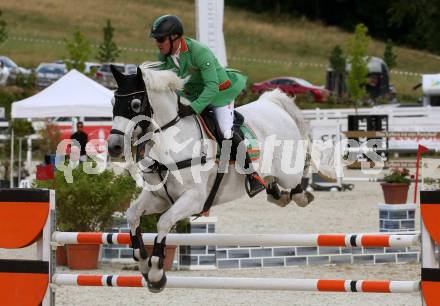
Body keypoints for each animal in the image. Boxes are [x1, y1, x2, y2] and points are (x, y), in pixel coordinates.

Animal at [107, 64, 336, 292]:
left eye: (136, 105)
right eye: (112, 103)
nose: (114, 147)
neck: (169, 143)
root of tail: (272, 103)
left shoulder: (194, 199)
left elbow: (163, 222)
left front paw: (155, 274)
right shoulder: (159, 198)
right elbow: (132, 214)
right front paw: (143, 263)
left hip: (288, 172)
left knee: (299, 177)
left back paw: (301, 196)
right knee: (275, 187)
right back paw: (276, 194)